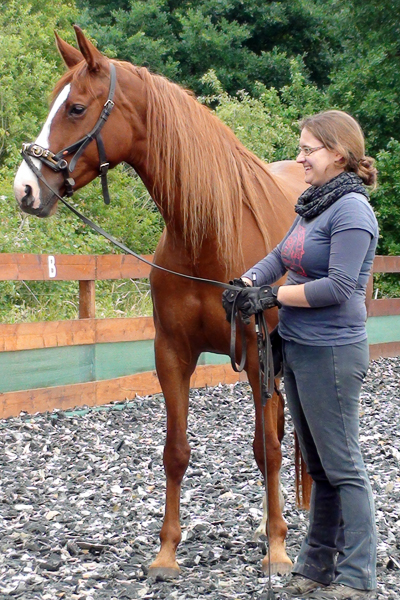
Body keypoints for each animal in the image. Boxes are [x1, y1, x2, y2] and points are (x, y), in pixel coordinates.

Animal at [14, 25, 310, 580]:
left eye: (77, 109)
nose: (25, 189)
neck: (209, 236)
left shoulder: (256, 355)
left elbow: (268, 451)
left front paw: (279, 550)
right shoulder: (172, 354)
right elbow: (176, 452)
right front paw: (167, 553)